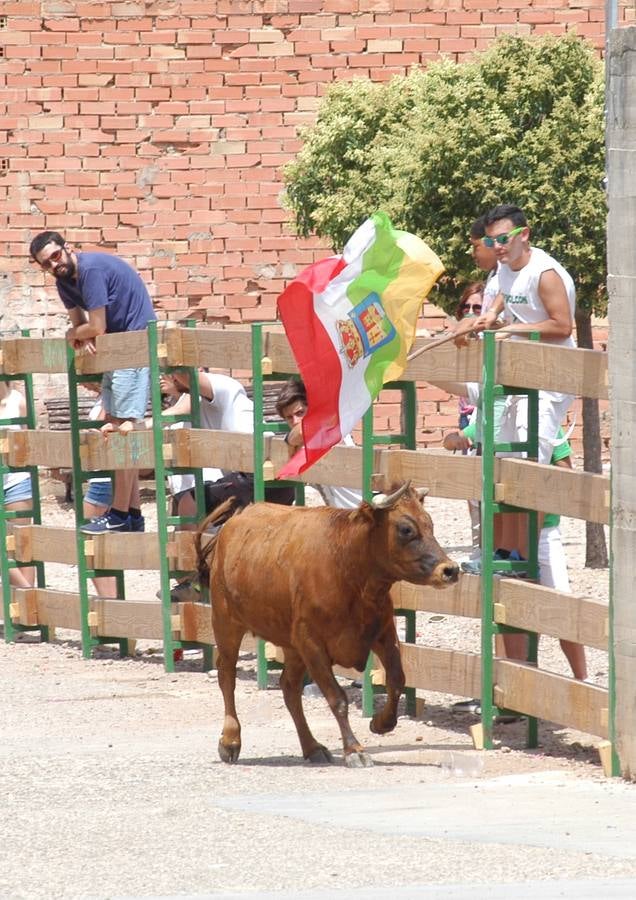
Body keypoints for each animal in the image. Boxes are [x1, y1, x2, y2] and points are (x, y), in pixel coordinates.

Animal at [196, 482, 460, 768]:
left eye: (429, 524)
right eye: (406, 529)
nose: (450, 569)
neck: (347, 569)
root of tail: (234, 522)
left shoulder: (383, 633)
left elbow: (397, 680)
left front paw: (381, 723)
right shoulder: (312, 643)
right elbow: (337, 698)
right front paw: (354, 749)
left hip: (291, 645)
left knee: (289, 688)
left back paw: (311, 746)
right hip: (226, 623)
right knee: (227, 676)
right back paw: (230, 741)